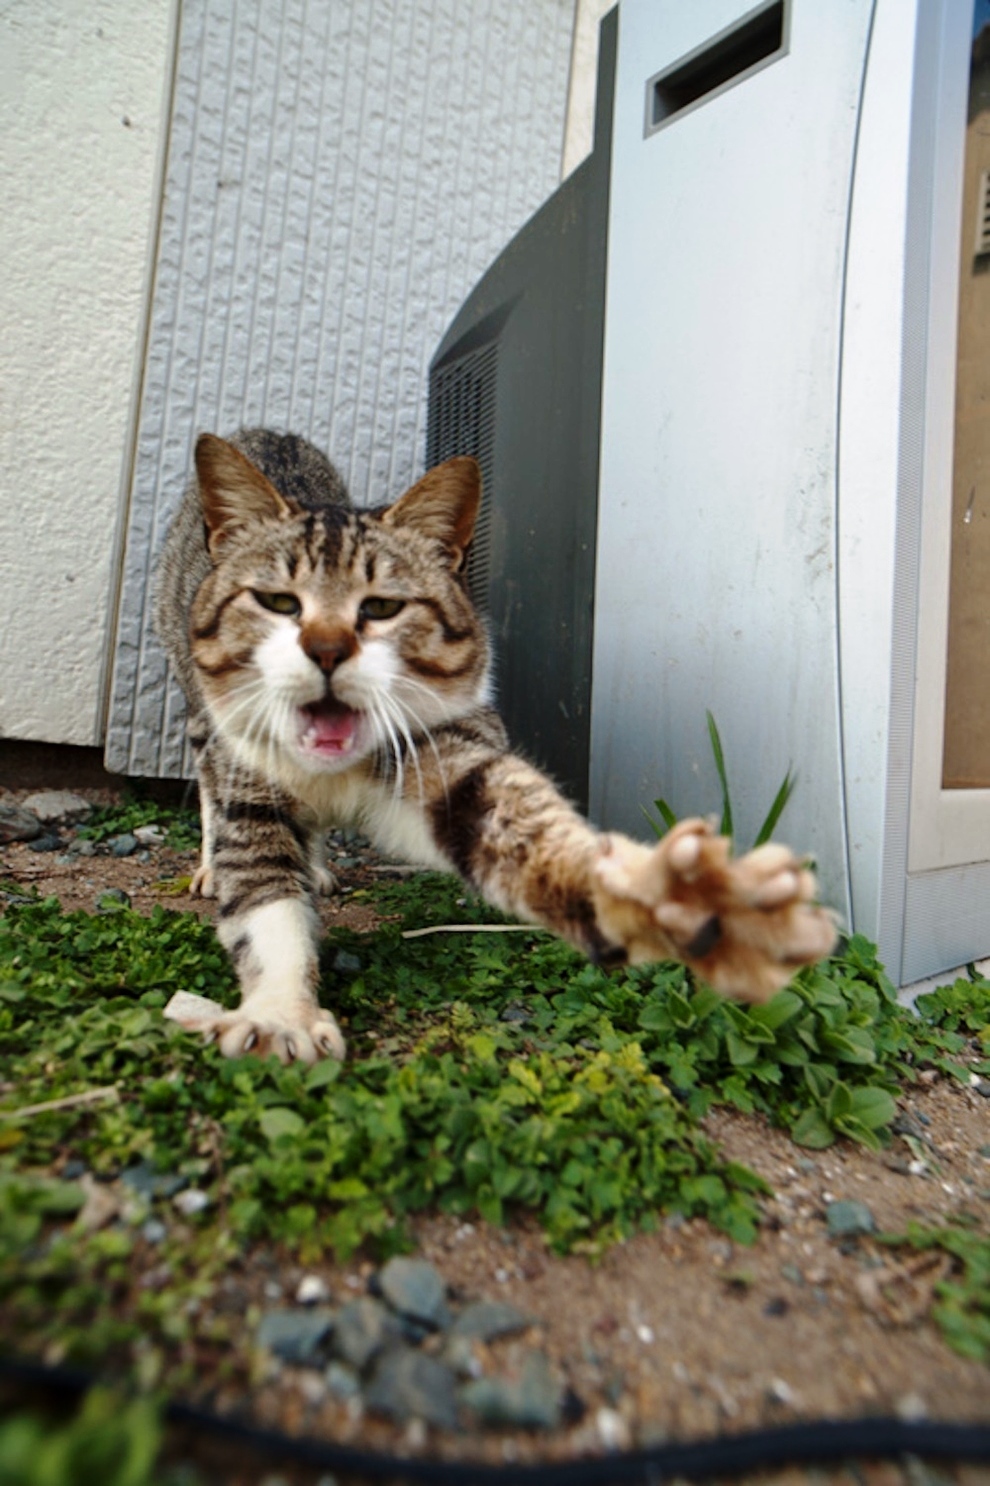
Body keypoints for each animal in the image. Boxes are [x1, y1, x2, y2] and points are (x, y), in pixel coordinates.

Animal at [154, 430, 832, 1069]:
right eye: (277, 601)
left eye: (381, 606)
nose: (325, 649)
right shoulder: (250, 790)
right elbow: (265, 904)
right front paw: (280, 1016)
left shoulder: (446, 747)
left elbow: (520, 826)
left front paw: (672, 891)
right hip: (199, 710)